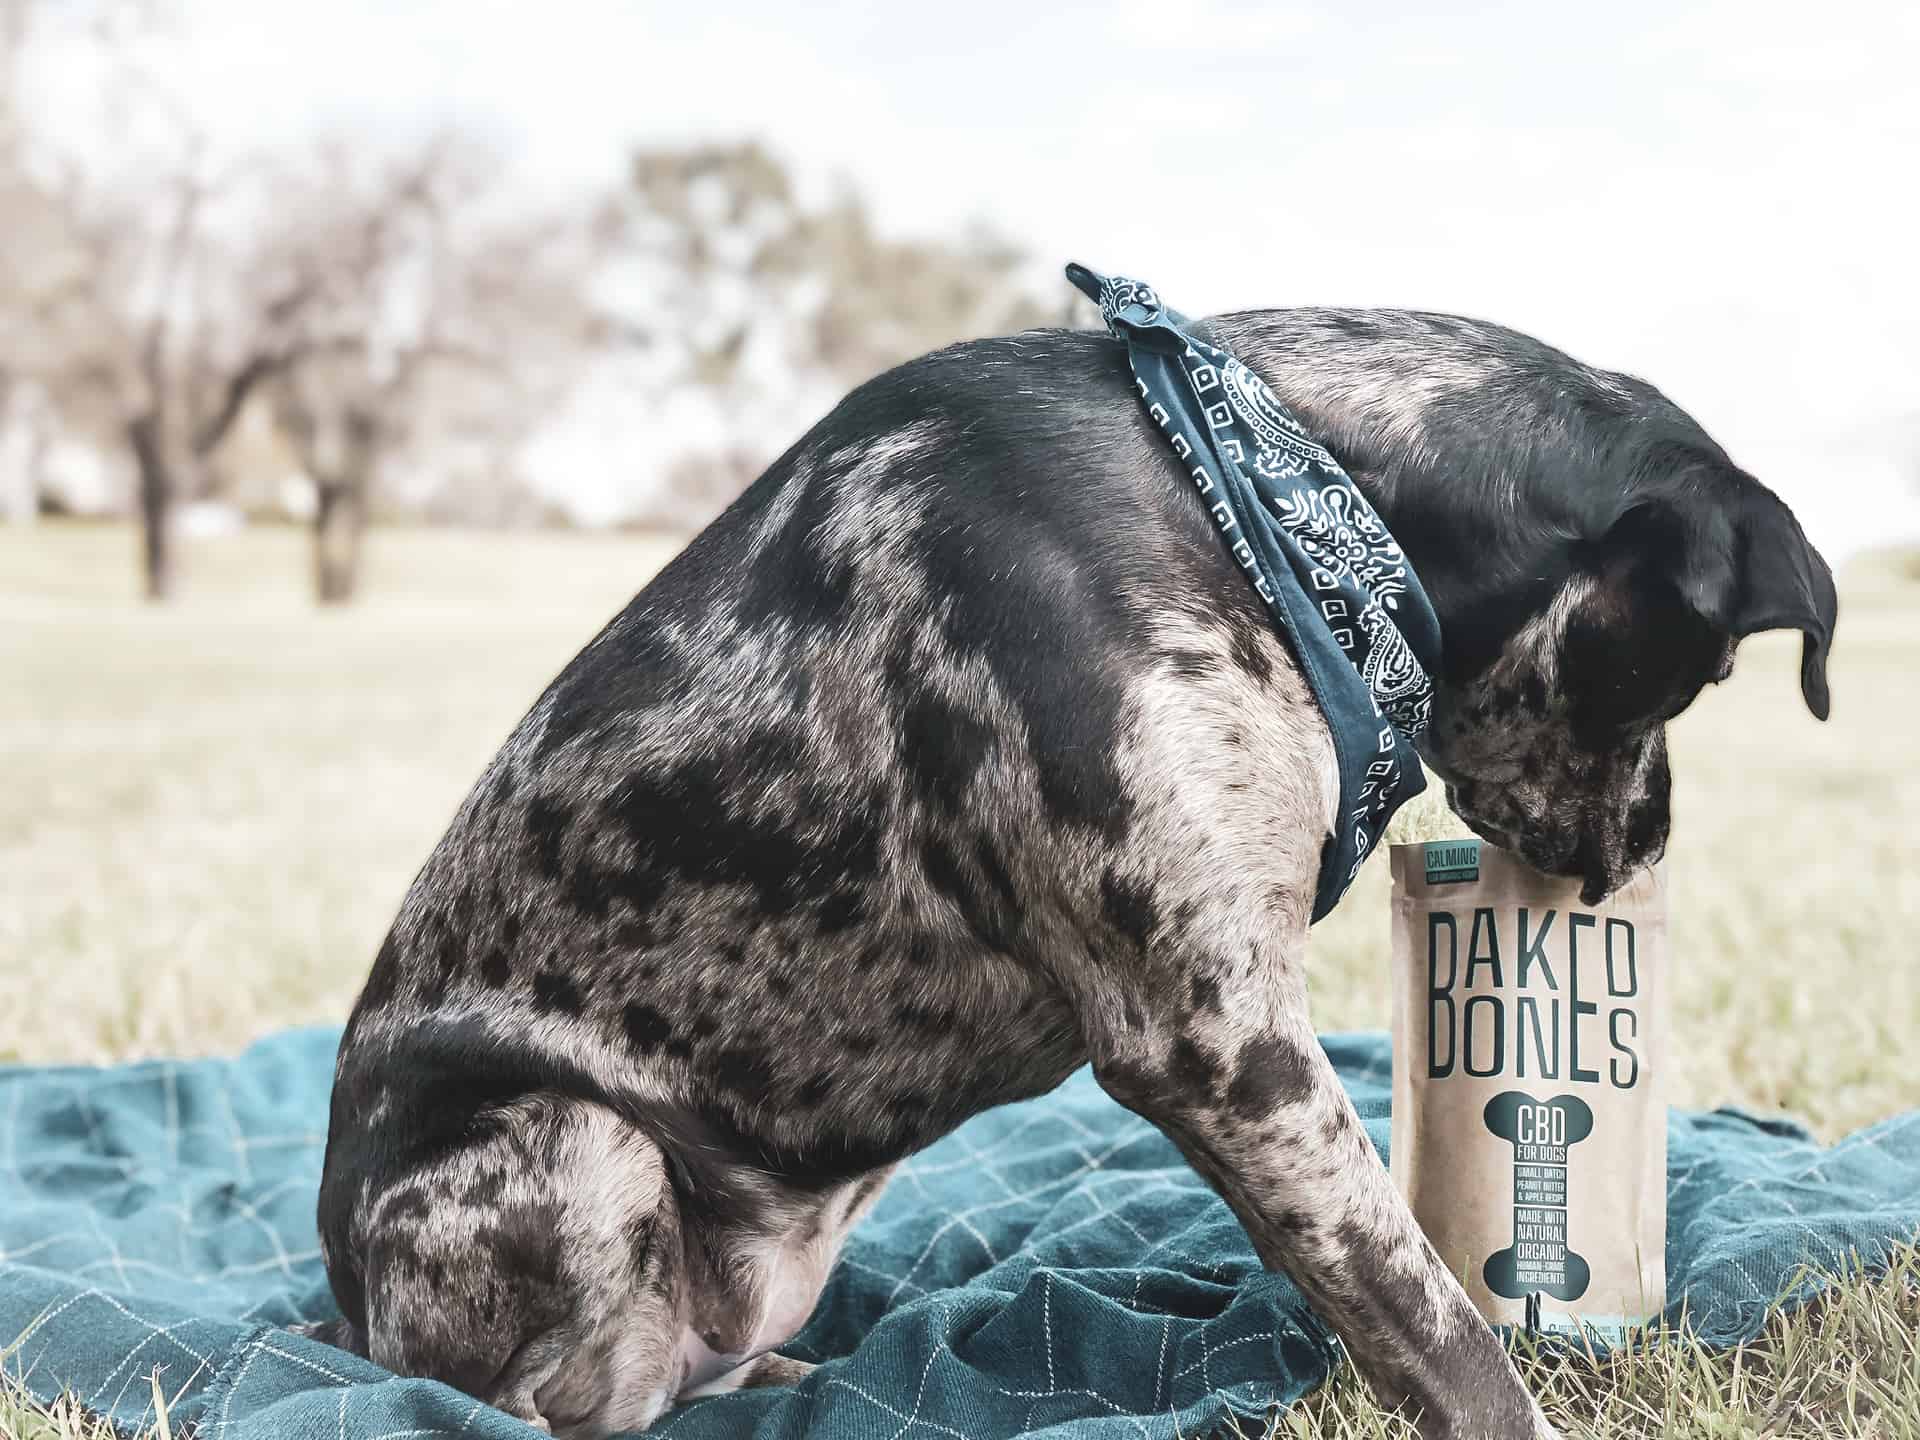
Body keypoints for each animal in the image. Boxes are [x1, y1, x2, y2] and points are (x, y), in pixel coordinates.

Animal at [307, 307, 1835, 1440]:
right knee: (552, 1412)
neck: (1264, 490)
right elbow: (1443, 1334)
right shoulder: (1218, 1042)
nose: (1652, 842)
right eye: (1705, 674)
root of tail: (340, 1306)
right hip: (579, 1146)